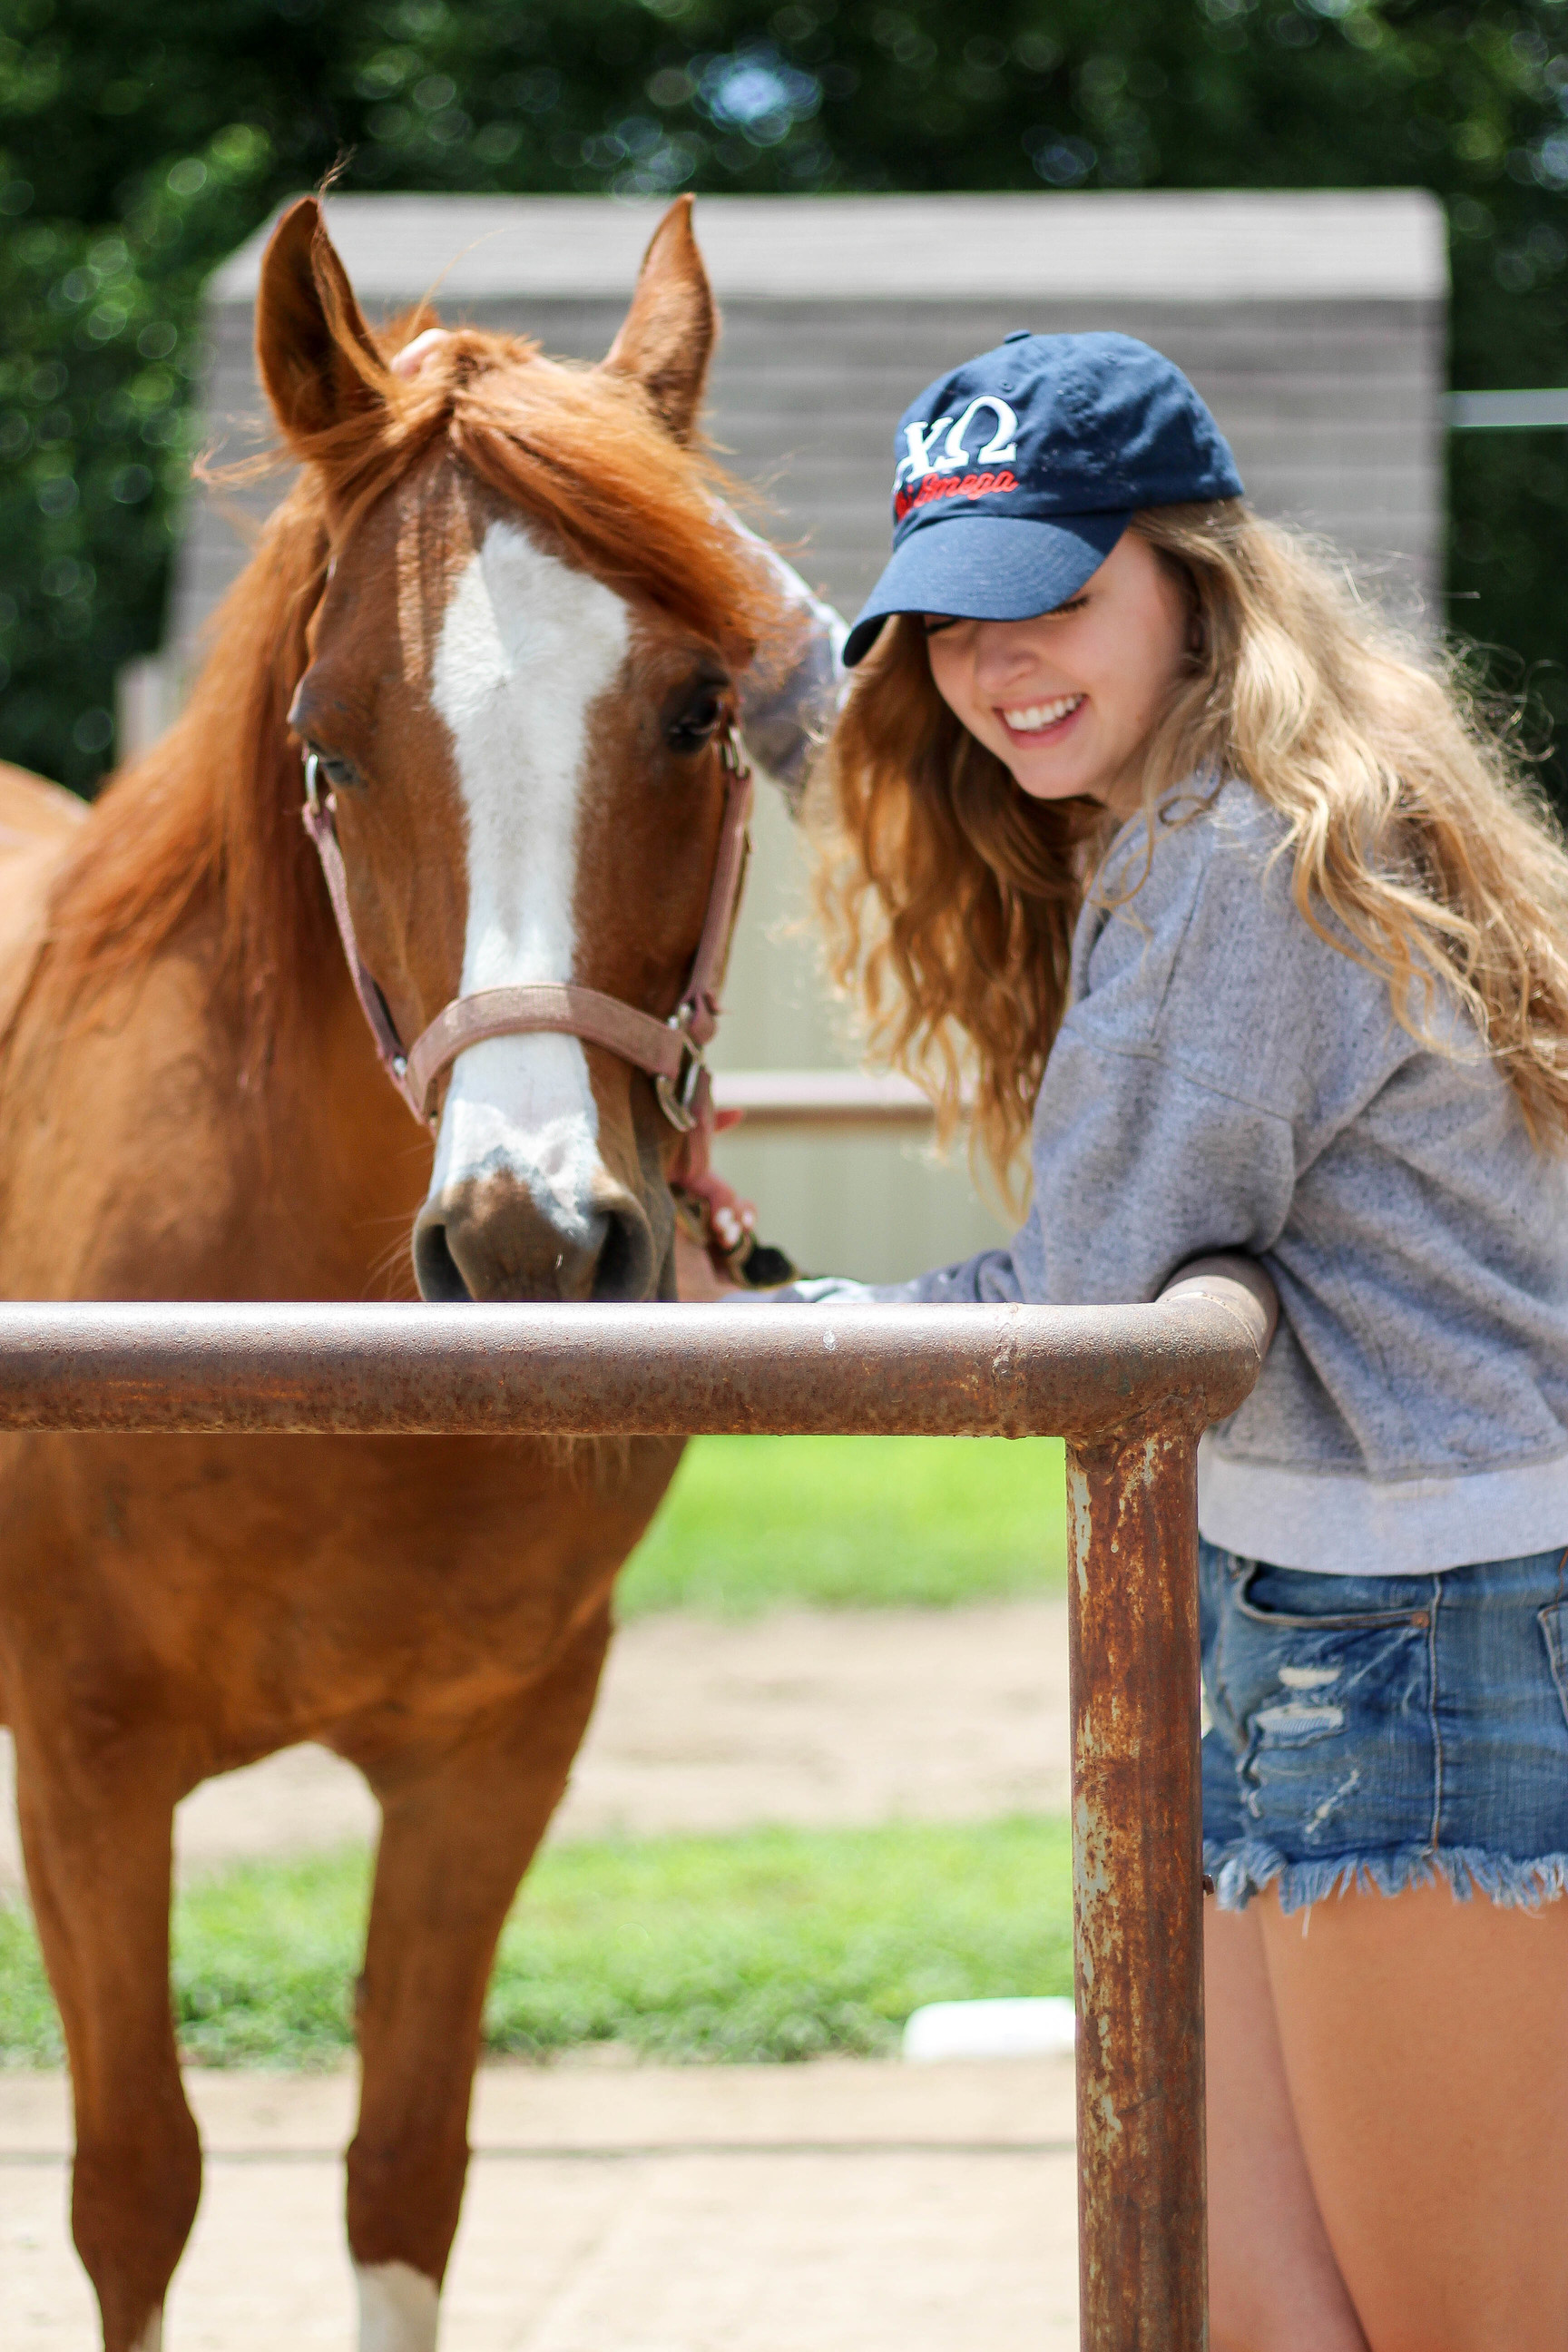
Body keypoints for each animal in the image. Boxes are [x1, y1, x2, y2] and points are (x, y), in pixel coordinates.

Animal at [0, 197, 785, 2352]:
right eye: (325, 745)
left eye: (698, 708)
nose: (528, 1241)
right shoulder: (85, 1767)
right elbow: (136, 2189)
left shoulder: (491, 1756)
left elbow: (402, 2171)